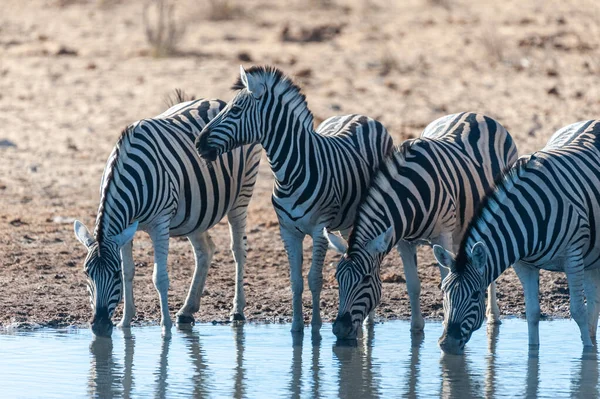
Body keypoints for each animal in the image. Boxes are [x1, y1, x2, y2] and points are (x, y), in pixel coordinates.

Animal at [72, 93, 260, 338]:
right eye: (87, 273)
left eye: (113, 274)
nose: (100, 326)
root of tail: (216, 100)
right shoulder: (125, 229)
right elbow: (130, 272)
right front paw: (125, 322)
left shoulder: (159, 224)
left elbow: (159, 278)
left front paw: (166, 328)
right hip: (195, 213)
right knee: (205, 250)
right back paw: (187, 311)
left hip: (242, 194)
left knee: (238, 250)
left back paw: (237, 311)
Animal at [195, 66, 396, 334]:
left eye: (235, 110)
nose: (198, 143)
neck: (290, 171)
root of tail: (361, 115)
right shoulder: (288, 230)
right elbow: (296, 281)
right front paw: (297, 329)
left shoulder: (320, 230)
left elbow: (314, 279)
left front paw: (316, 329)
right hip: (346, 221)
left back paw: (368, 323)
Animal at [326, 112, 516, 340]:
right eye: (337, 278)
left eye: (365, 279)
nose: (339, 329)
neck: (407, 197)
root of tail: (474, 114)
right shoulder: (403, 242)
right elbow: (413, 285)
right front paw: (416, 329)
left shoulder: (442, 235)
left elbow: (446, 279)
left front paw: (446, 322)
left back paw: (493, 316)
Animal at [434, 120, 600, 354]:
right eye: (443, 292)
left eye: (476, 294)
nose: (447, 344)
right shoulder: (524, 264)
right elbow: (532, 313)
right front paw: (533, 353)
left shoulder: (573, 255)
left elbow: (578, 310)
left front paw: (587, 354)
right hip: (592, 256)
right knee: (594, 301)